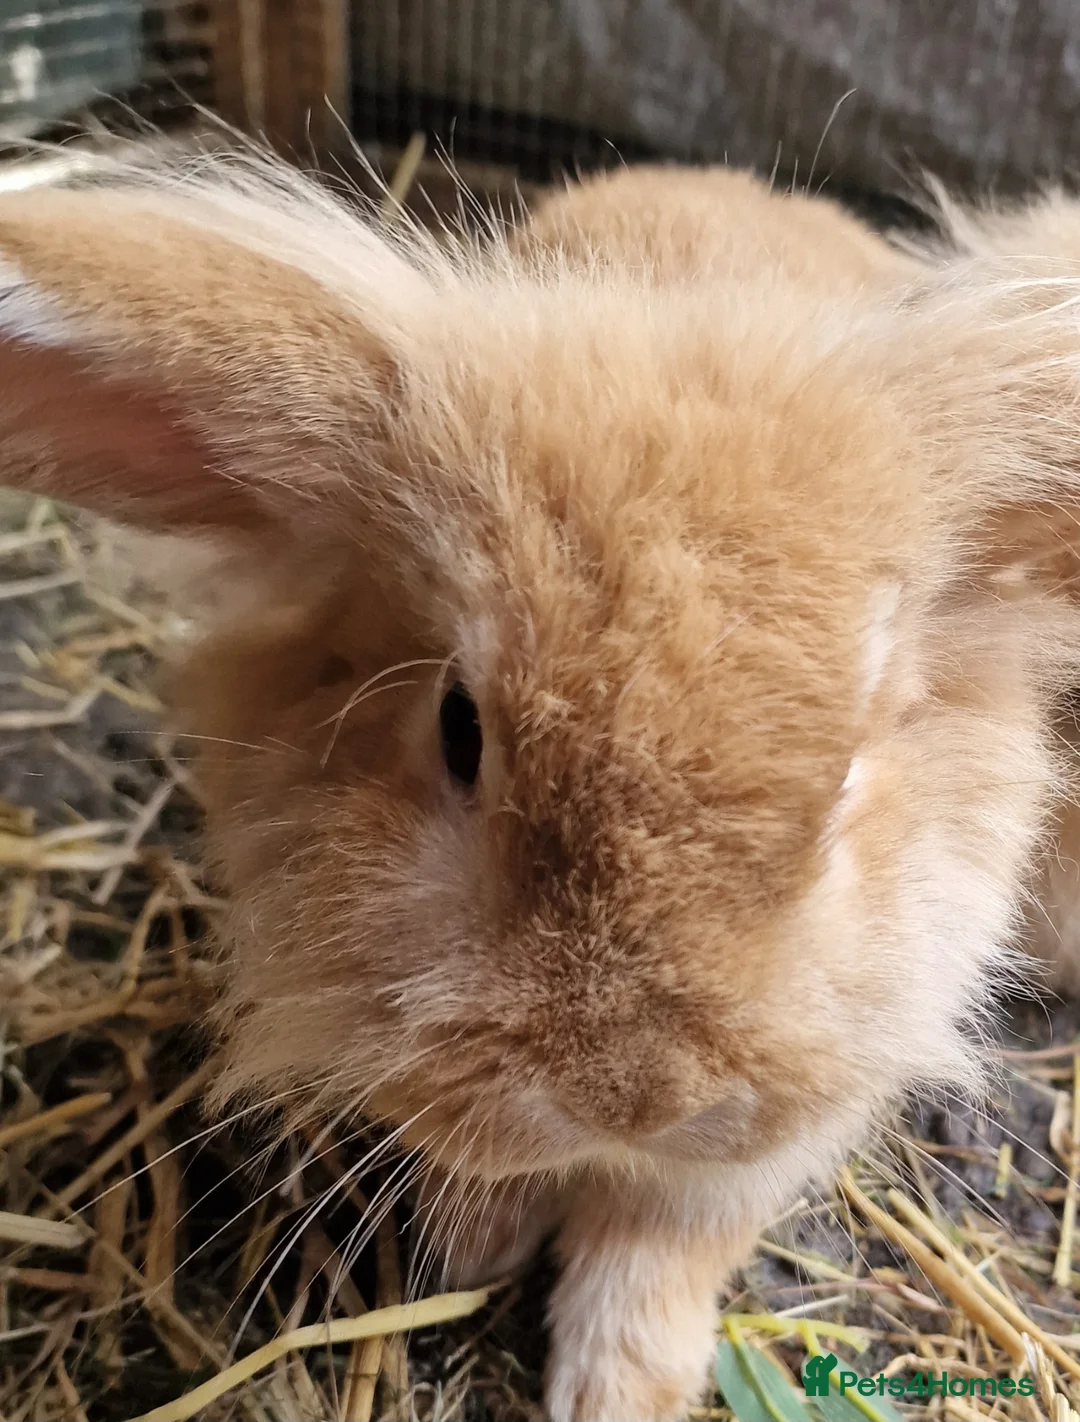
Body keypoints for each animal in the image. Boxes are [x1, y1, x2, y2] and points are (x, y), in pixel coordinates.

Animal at [1, 154, 1080, 1421]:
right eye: (459, 727)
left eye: (857, 763)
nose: (640, 1097)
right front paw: (476, 1253)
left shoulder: (766, 1147)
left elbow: (659, 1257)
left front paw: (615, 1393)